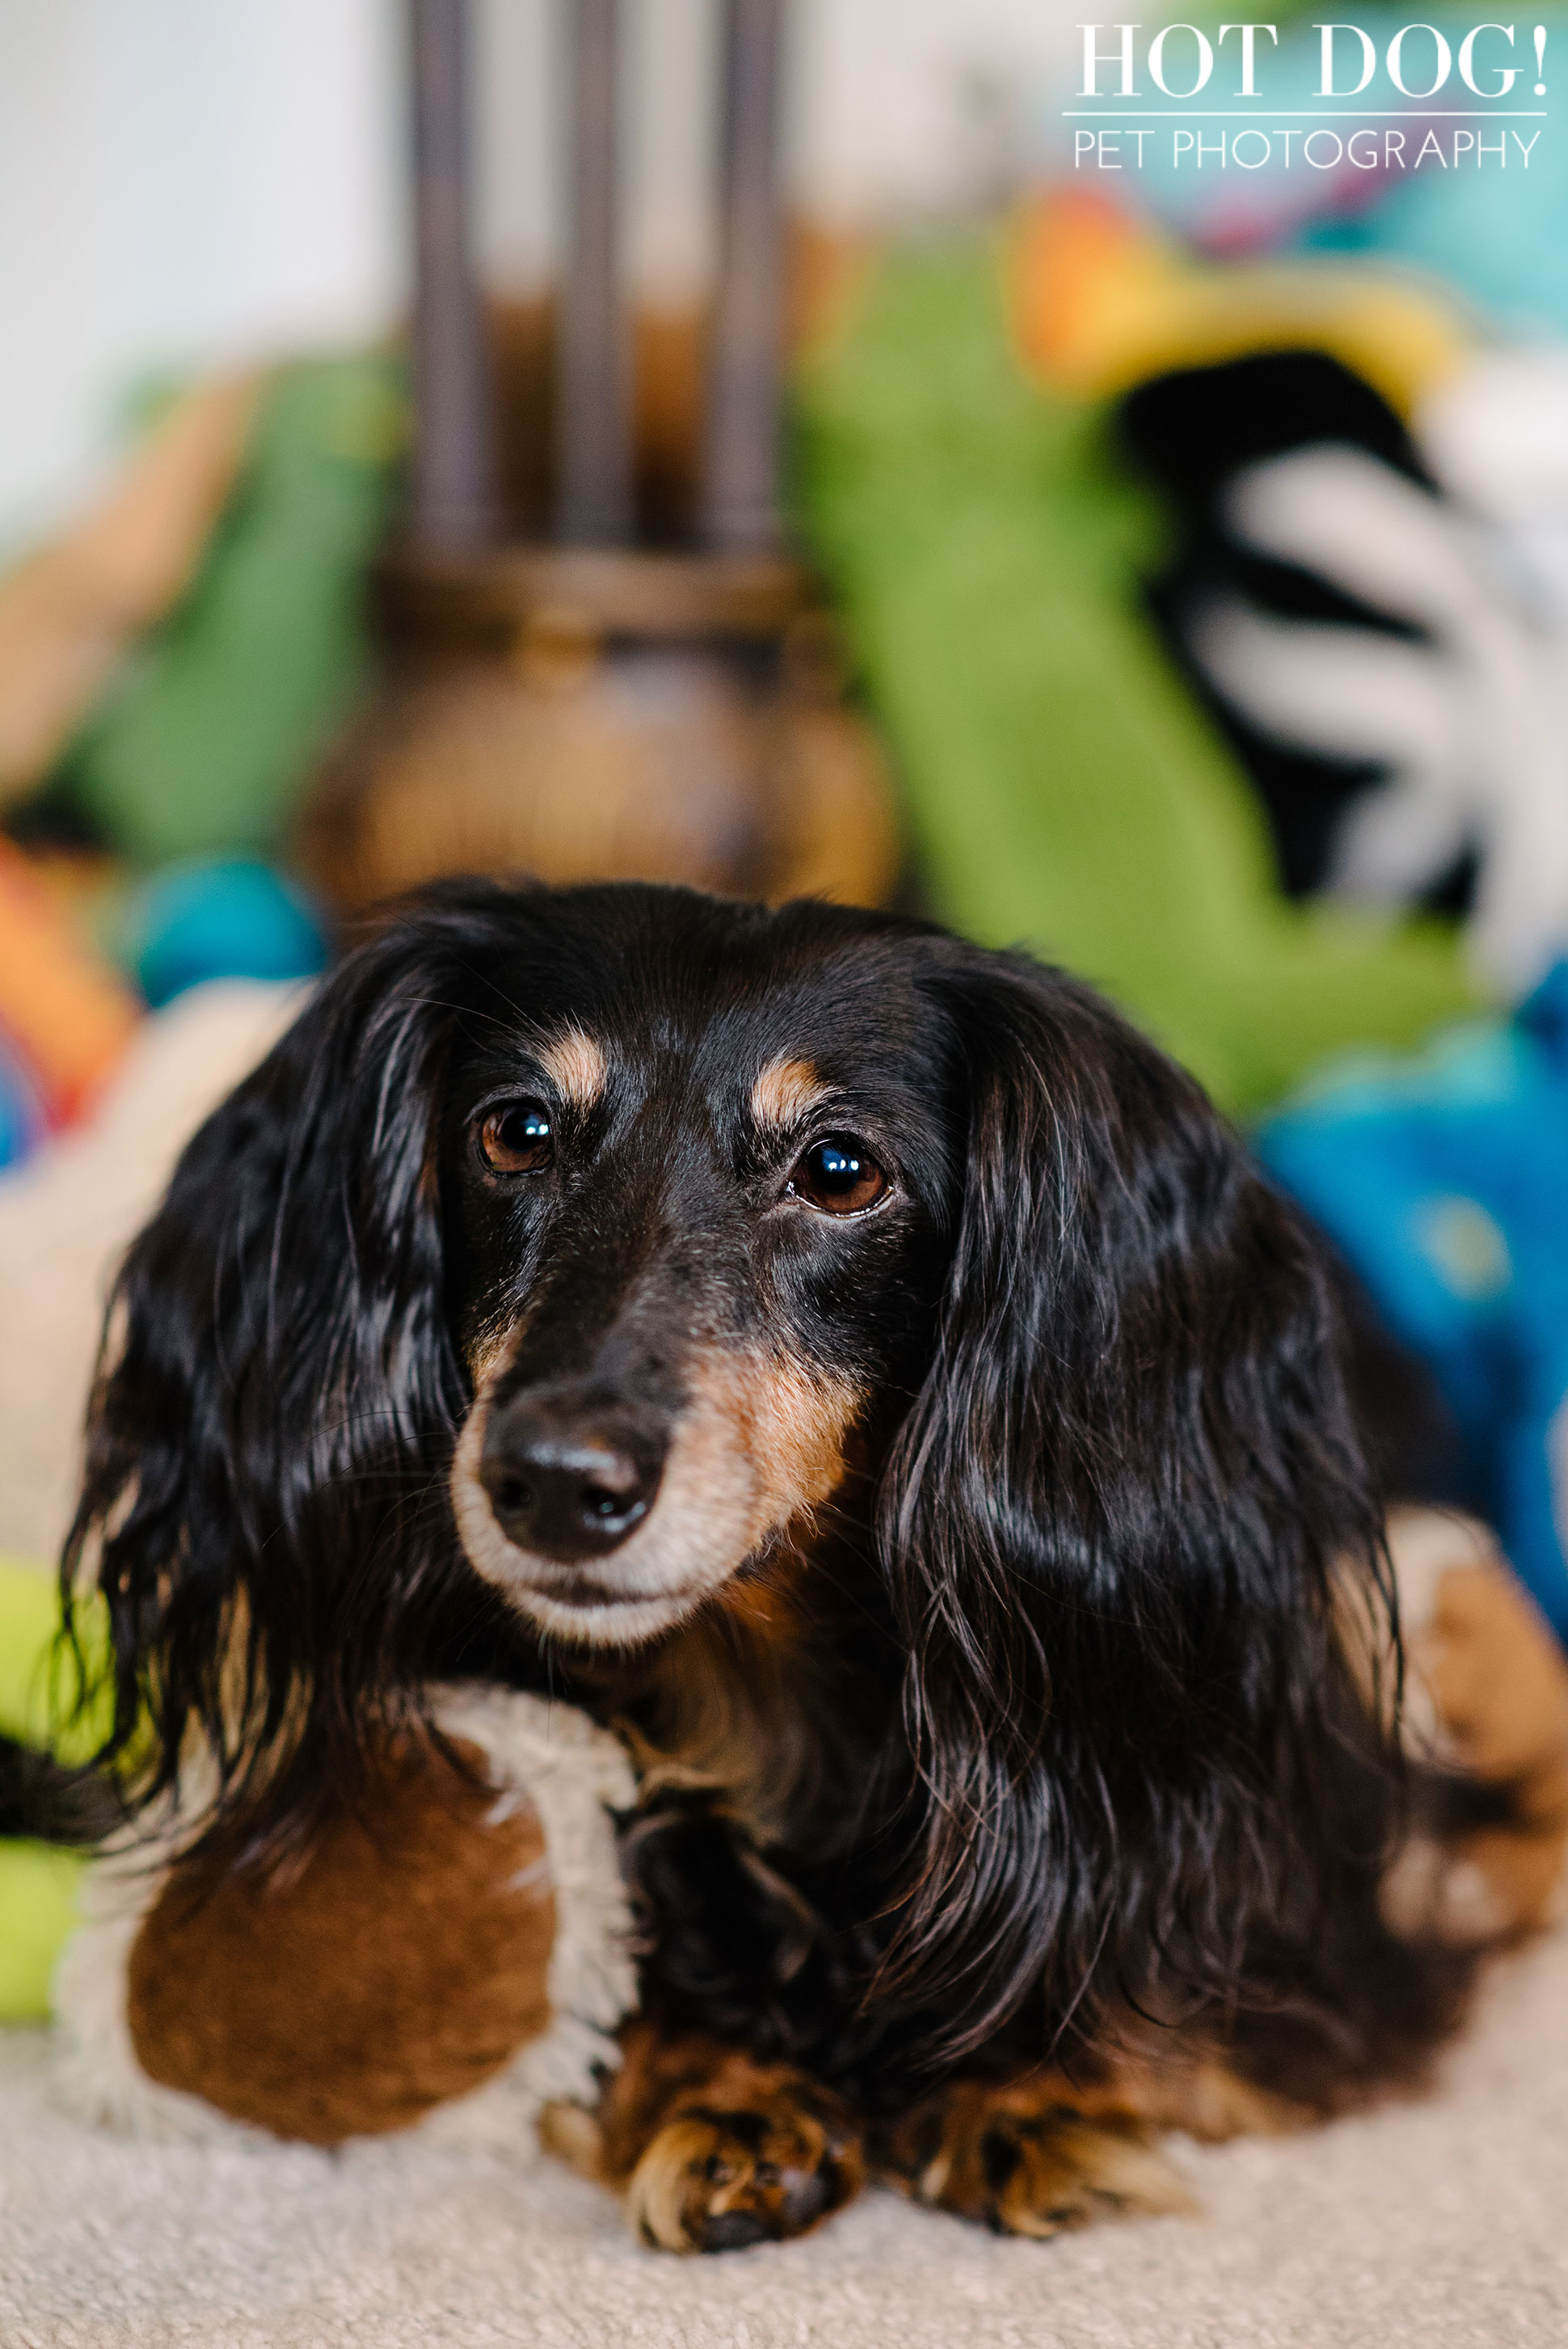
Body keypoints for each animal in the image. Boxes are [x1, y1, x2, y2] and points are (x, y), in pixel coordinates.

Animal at [18, 888, 1568, 2246]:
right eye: (516, 1131)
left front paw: (1033, 2086)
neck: (778, 1689)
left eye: (840, 1168)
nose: (553, 1485)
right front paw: (719, 2086)